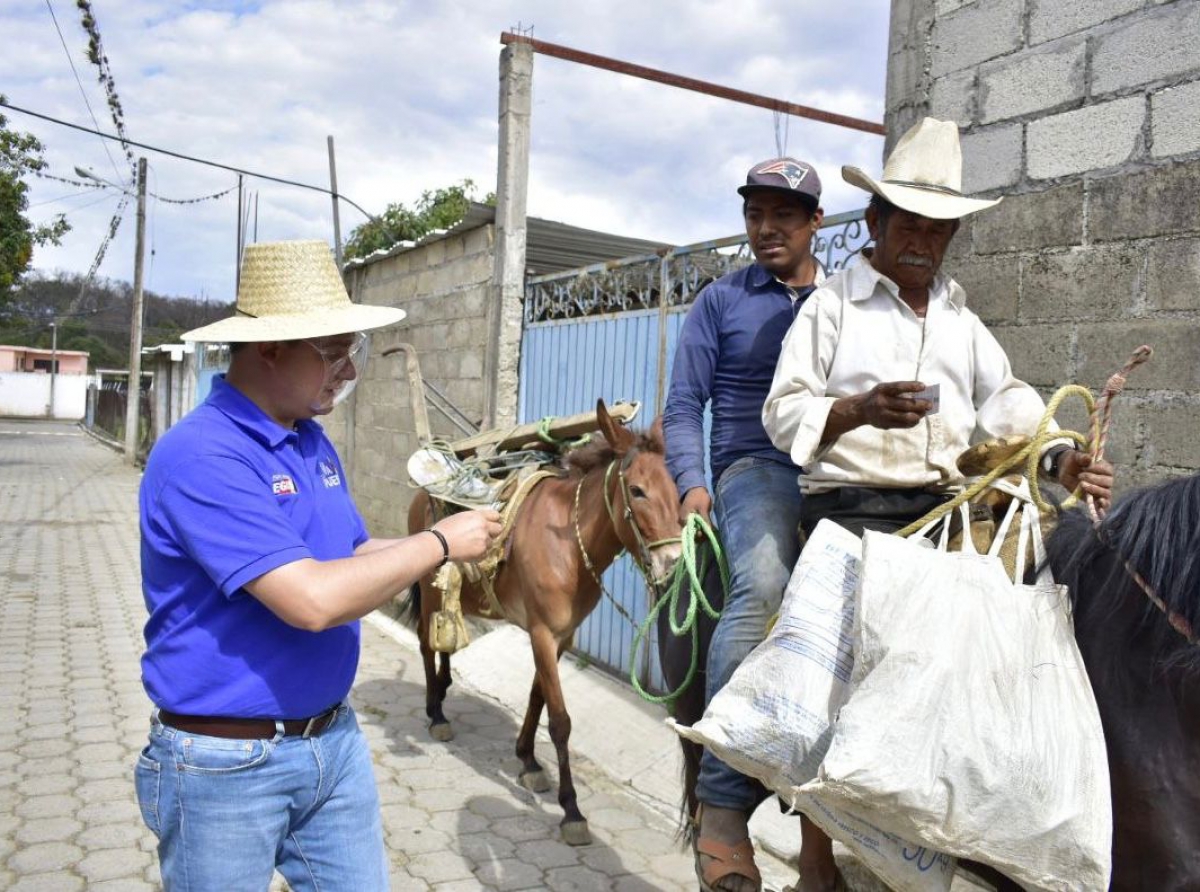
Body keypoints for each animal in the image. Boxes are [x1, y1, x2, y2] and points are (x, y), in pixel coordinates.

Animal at [408, 400, 681, 849]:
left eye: (676, 489)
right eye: (638, 490)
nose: (672, 564)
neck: (569, 543)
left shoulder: (560, 638)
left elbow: (538, 697)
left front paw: (528, 761)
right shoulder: (540, 633)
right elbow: (560, 720)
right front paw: (571, 809)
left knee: (444, 637)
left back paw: (444, 692)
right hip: (428, 587)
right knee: (426, 643)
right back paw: (436, 713)